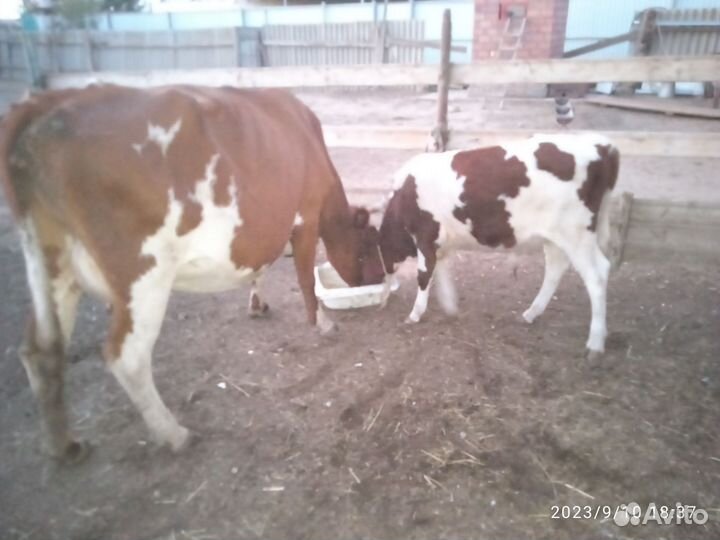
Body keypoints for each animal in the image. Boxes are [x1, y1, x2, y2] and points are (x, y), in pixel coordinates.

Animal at [0, 85, 379, 462]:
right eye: (365, 247)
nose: (369, 283)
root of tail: (47, 105)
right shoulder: (305, 218)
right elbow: (304, 277)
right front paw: (323, 323)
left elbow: (262, 266)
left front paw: (257, 304)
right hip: (143, 273)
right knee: (128, 356)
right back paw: (173, 433)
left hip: (53, 267)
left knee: (40, 351)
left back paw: (64, 445)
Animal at [361, 134, 620, 359]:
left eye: (364, 257)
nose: (381, 299)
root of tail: (604, 145)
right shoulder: (441, 243)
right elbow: (442, 271)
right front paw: (450, 305)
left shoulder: (425, 236)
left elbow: (424, 276)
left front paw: (415, 314)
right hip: (556, 237)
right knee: (556, 270)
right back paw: (531, 313)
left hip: (577, 234)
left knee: (597, 276)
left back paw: (595, 343)